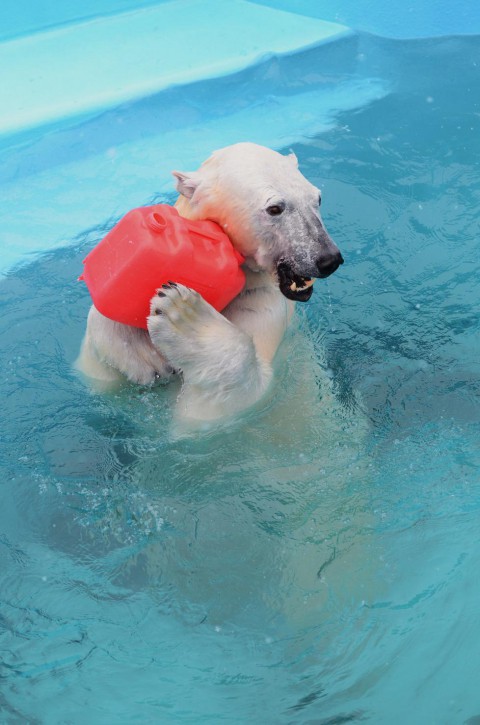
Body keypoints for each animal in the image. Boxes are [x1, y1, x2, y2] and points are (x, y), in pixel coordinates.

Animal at [78, 142, 342, 422]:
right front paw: (144, 356)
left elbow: (229, 402)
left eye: (317, 199)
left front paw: (184, 315)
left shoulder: (262, 306)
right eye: (275, 208)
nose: (328, 258)